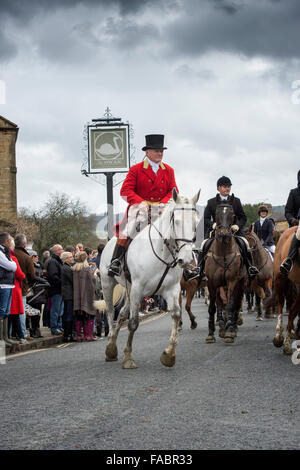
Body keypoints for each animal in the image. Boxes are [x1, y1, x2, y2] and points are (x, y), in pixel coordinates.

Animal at [97, 186, 200, 368]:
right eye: (176, 221)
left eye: (195, 223)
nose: (187, 260)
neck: (163, 252)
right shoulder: (138, 289)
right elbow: (133, 323)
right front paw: (128, 358)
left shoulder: (172, 289)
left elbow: (176, 314)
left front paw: (169, 354)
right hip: (108, 283)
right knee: (110, 312)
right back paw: (110, 346)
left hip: (130, 291)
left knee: (121, 314)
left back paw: (113, 344)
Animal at [205, 200, 247, 344]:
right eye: (217, 213)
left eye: (232, 214)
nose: (223, 233)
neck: (223, 252)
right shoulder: (212, 283)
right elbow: (213, 307)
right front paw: (211, 334)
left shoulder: (232, 281)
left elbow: (230, 305)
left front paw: (229, 332)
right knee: (220, 304)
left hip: (241, 284)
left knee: (236, 303)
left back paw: (232, 327)